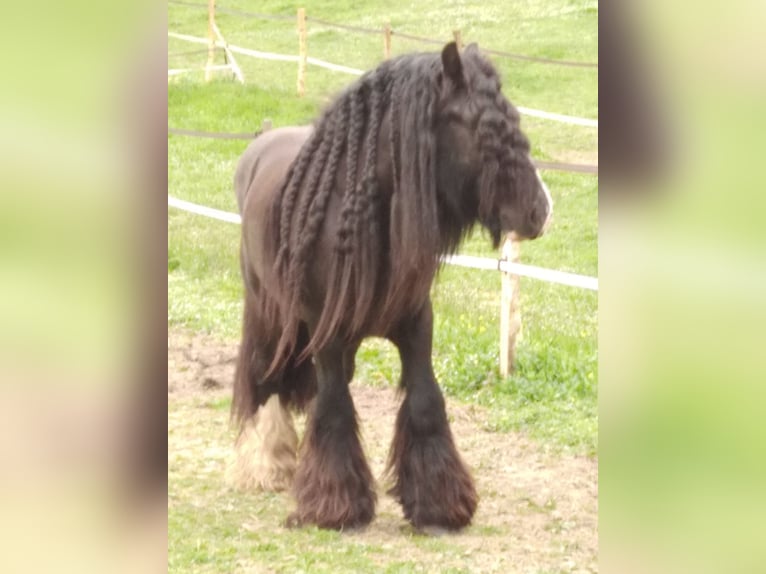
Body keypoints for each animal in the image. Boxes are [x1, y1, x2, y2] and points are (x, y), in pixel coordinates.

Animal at [228, 42, 552, 532]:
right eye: (483, 127)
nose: (541, 210)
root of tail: (258, 146)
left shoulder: (415, 324)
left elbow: (423, 400)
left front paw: (438, 504)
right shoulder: (326, 333)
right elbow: (334, 406)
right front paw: (337, 505)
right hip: (271, 311)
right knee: (268, 376)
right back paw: (269, 464)